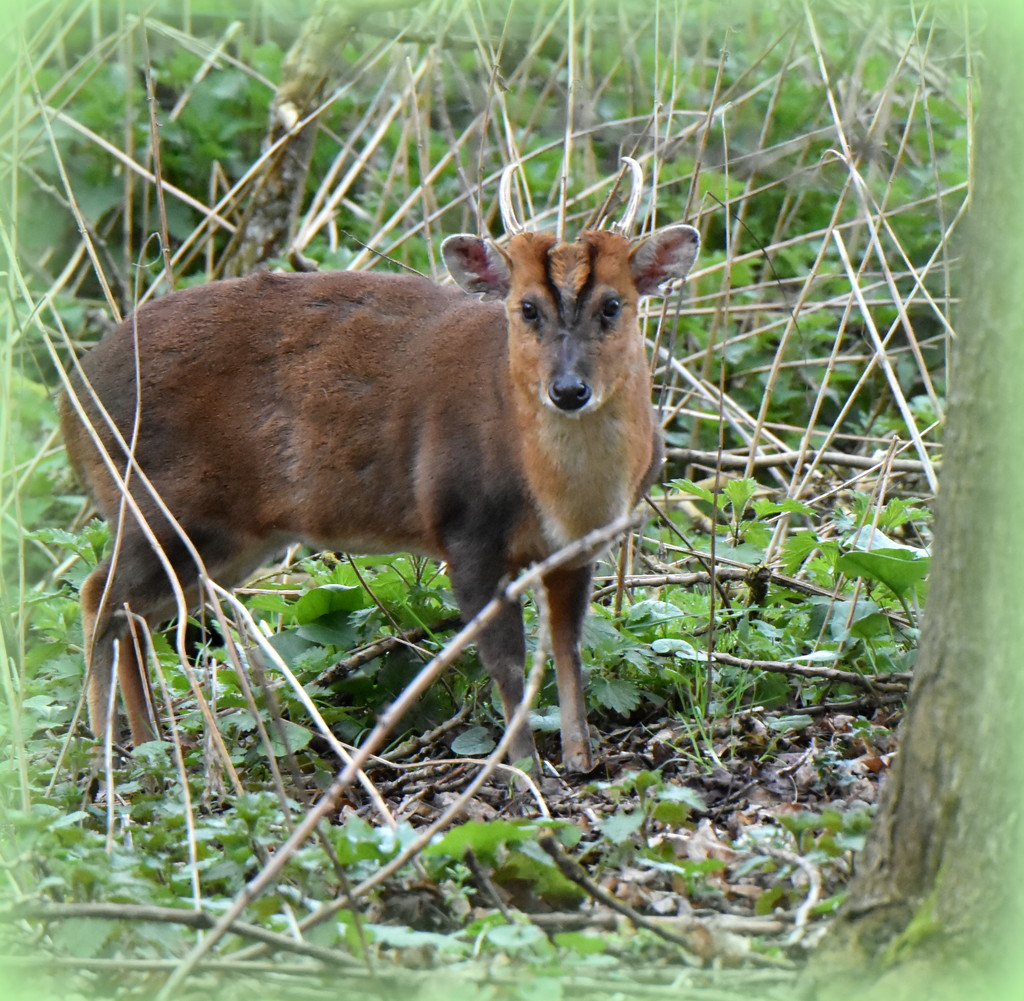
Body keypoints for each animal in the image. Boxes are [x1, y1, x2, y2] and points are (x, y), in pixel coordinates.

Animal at [59, 161, 700, 773]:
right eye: (527, 308)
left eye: (613, 305)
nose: (568, 390)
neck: (559, 489)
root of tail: (73, 401)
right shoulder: (464, 526)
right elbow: (506, 661)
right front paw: (524, 772)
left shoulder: (575, 548)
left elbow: (568, 649)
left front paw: (581, 759)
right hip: (158, 504)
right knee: (100, 598)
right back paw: (116, 753)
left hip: (228, 541)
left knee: (135, 616)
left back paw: (145, 747)